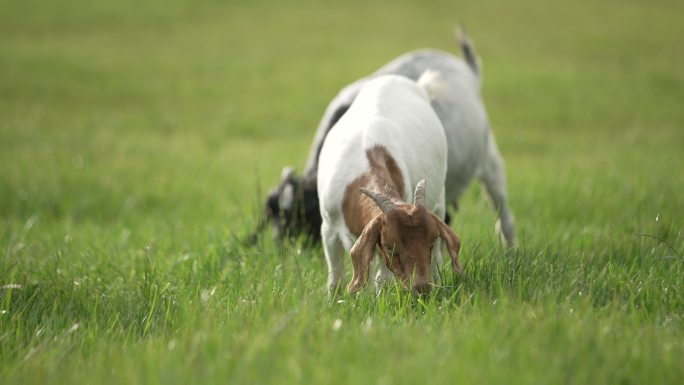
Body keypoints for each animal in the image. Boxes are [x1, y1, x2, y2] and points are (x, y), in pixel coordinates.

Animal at [256, 29, 512, 246]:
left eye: (304, 214)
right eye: (273, 214)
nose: (284, 245)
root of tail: (466, 68)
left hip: (489, 161)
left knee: (503, 213)